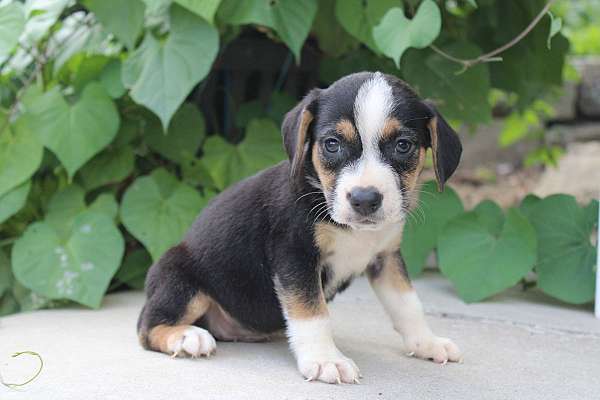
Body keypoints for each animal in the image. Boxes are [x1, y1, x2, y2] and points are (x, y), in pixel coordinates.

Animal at [137, 70, 464, 382]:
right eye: (332, 144)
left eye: (403, 145)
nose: (364, 199)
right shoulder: (295, 256)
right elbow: (312, 313)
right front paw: (326, 360)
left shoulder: (386, 258)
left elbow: (408, 303)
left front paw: (427, 342)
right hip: (178, 278)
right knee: (146, 326)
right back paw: (186, 337)